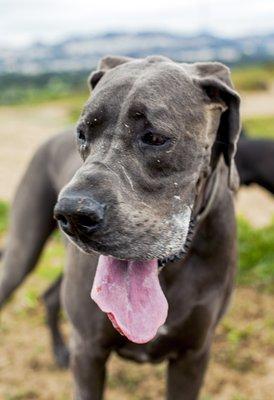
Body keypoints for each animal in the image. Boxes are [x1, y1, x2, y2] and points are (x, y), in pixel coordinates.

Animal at [0, 55, 240, 396]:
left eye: (155, 138)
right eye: (82, 134)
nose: (73, 214)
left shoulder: (193, 357)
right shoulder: (88, 353)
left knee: (50, 295)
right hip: (22, 253)